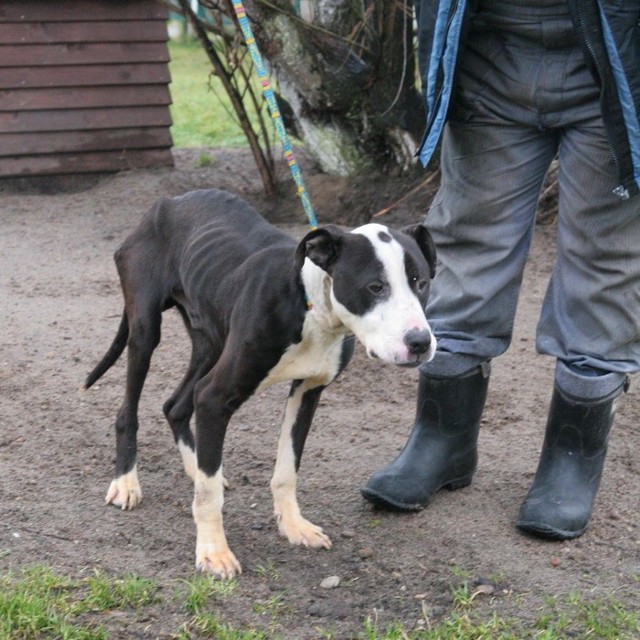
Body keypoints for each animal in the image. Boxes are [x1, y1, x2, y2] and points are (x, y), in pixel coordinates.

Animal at [84, 189, 436, 580]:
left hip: (210, 342)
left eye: (421, 282)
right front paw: (213, 551)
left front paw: (293, 525)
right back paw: (126, 481)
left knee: (175, 407)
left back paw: (195, 467)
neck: (310, 306)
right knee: (128, 410)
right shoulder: (214, 398)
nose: (420, 343)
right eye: (375, 286)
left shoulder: (307, 392)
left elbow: (287, 469)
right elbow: (209, 496)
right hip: (145, 332)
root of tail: (166, 203)